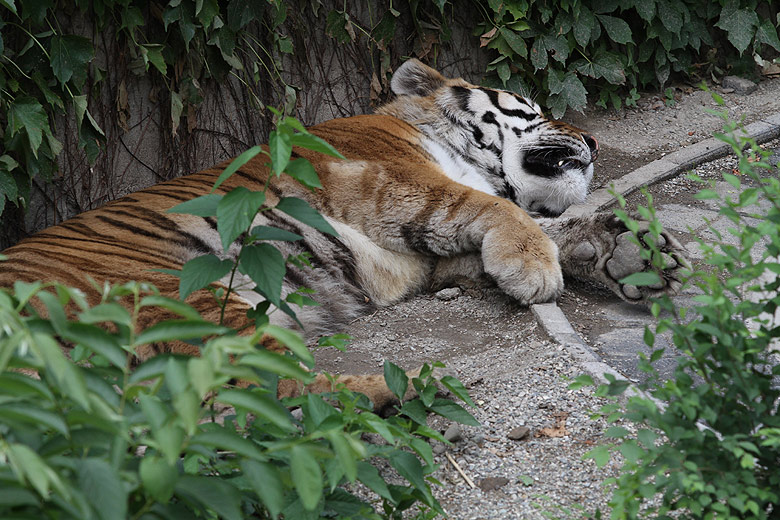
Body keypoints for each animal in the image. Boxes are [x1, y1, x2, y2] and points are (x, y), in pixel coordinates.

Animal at [0, 59, 686, 410]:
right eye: (537, 110)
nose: (593, 138)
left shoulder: (426, 256)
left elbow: (549, 223)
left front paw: (627, 252)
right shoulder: (392, 181)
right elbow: (496, 210)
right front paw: (535, 267)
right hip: (179, 300)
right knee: (257, 398)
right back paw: (409, 388)